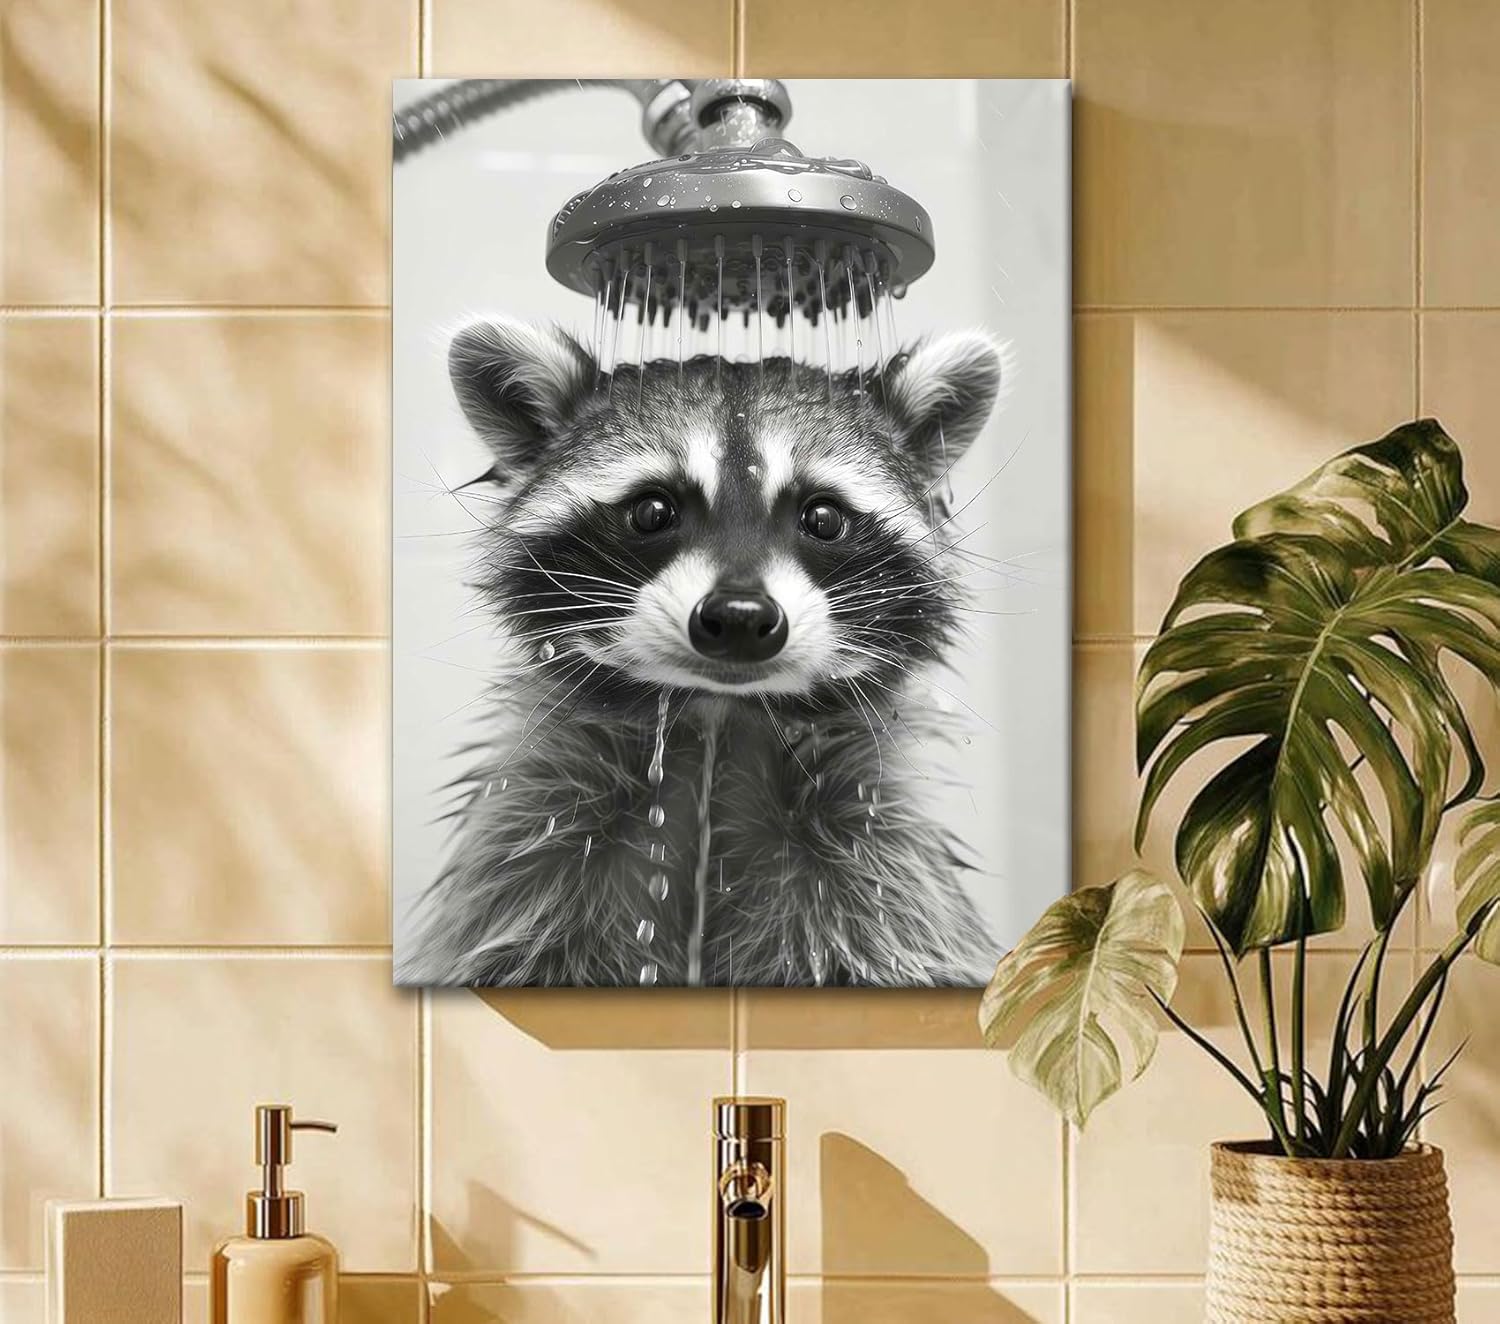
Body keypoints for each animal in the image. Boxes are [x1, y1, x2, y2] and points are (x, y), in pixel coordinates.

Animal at [398, 316, 1007, 987]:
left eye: (822, 517)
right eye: (652, 510)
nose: (740, 619)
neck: (720, 714)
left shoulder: (878, 867)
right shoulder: (535, 848)